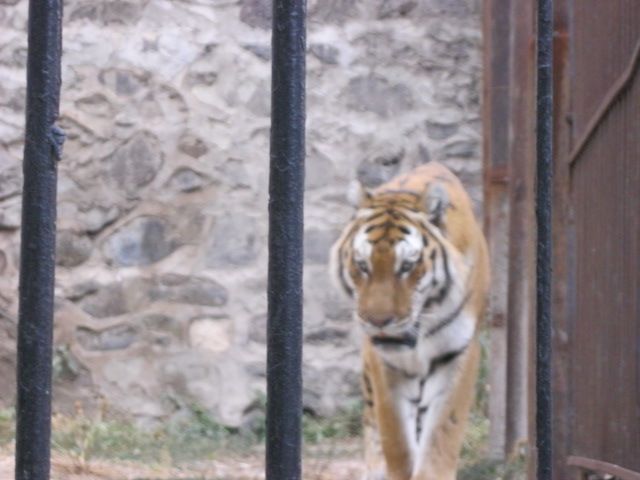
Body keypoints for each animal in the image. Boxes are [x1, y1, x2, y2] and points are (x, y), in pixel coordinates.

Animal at [330, 162, 490, 480]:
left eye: (406, 266)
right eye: (362, 265)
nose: (379, 321)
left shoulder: (459, 353)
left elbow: (443, 431)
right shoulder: (384, 362)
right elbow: (396, 440)